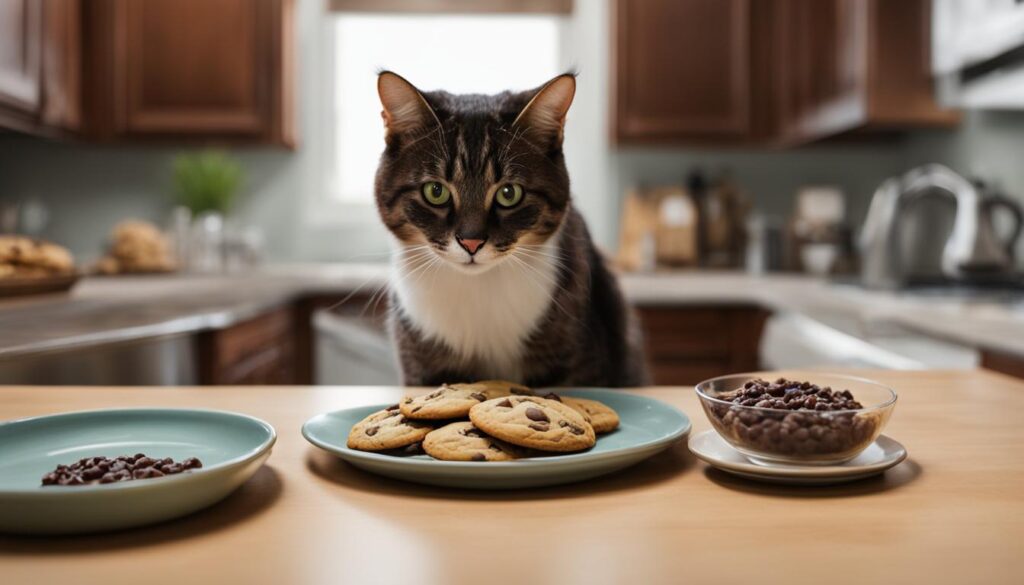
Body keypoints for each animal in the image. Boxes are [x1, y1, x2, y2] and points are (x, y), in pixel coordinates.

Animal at [376, 69, 647, 389]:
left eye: (509, 193)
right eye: (435, 191)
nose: (471, 242)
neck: (478, 288)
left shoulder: (579, 361)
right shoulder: (422, 365)